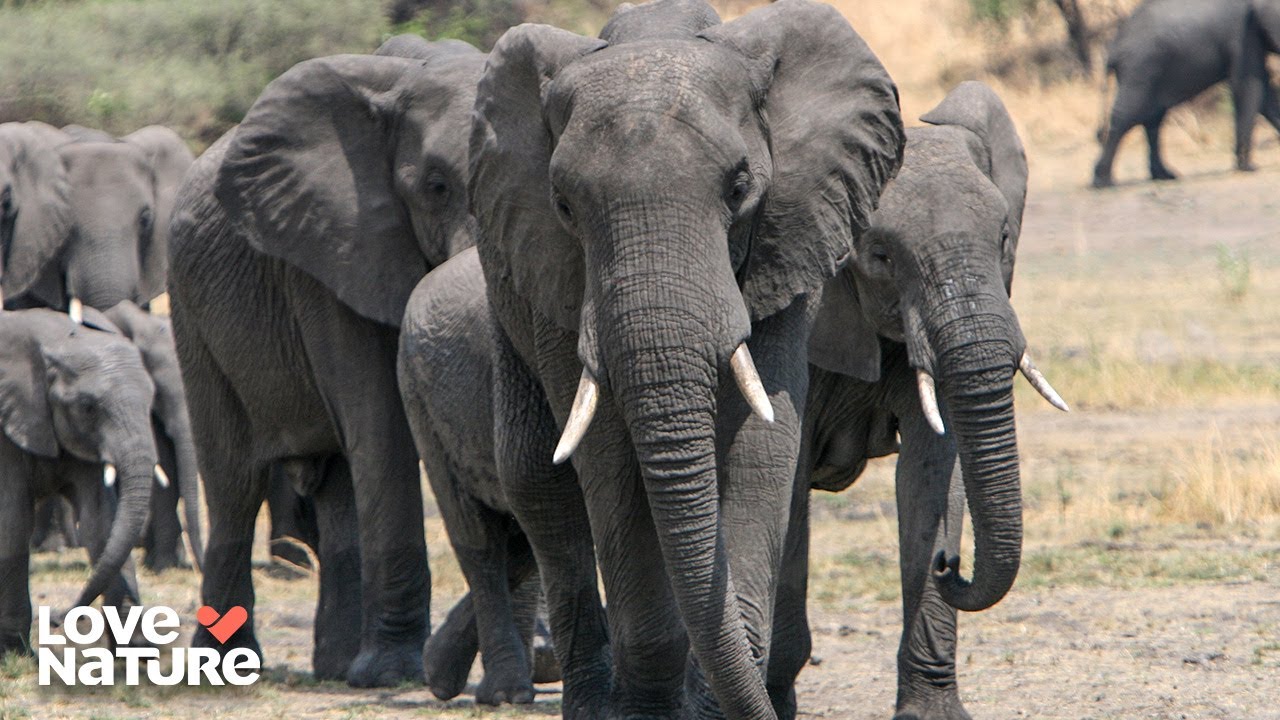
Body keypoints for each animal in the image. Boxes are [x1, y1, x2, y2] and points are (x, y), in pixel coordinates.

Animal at [0, 307, 157, 655]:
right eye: (87, 407)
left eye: (152, 400)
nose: (57, 619)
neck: (55, 342)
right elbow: (13, 524)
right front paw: (16, 653)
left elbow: (102, 523)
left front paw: (136, 651)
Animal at [167, 39, 485, 686]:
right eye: (436, 185)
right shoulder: (330, 254)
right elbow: (382, 426)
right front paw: (392, 674)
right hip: (190, 312)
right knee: (234, 482)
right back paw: (227, 668)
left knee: (338, 486)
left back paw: (337, 666)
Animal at [466, 0, 903, 716]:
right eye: (564, 205)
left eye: (740, 186)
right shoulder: (557, 271)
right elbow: (609, 456)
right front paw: (653, 702)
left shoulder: (793, 231)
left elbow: (762, 441)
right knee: (539, 482)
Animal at [762, 82, 1069, 720]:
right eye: (879, 254)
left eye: (1004, 238)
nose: (951, 561)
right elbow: (788, 482)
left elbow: (933, 468)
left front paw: (932, 710)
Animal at [1092, 0, 1280, 187]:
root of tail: (1113, 49)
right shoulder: (1244, 34)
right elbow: (1251, 88)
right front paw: (1248, 167)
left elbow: (1265, 94)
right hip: (1140, 66)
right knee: (1127, 116)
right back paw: (1103, 182)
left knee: (1153, 118)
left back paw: (1165, 175)